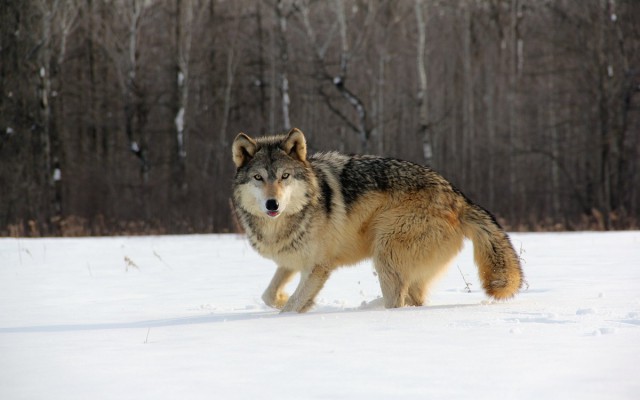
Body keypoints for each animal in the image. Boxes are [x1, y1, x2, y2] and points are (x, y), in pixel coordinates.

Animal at [232, 128, 524, 312]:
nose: (272, 204)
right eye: (258, 178)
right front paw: (283, 299)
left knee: (397, 302)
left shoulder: (318, 267)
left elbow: (292, 306)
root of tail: (459, 198)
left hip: (385, 253)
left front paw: (289, 311)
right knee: (413, 300)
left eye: (285, 176)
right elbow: (269, 295)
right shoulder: (291, 261)